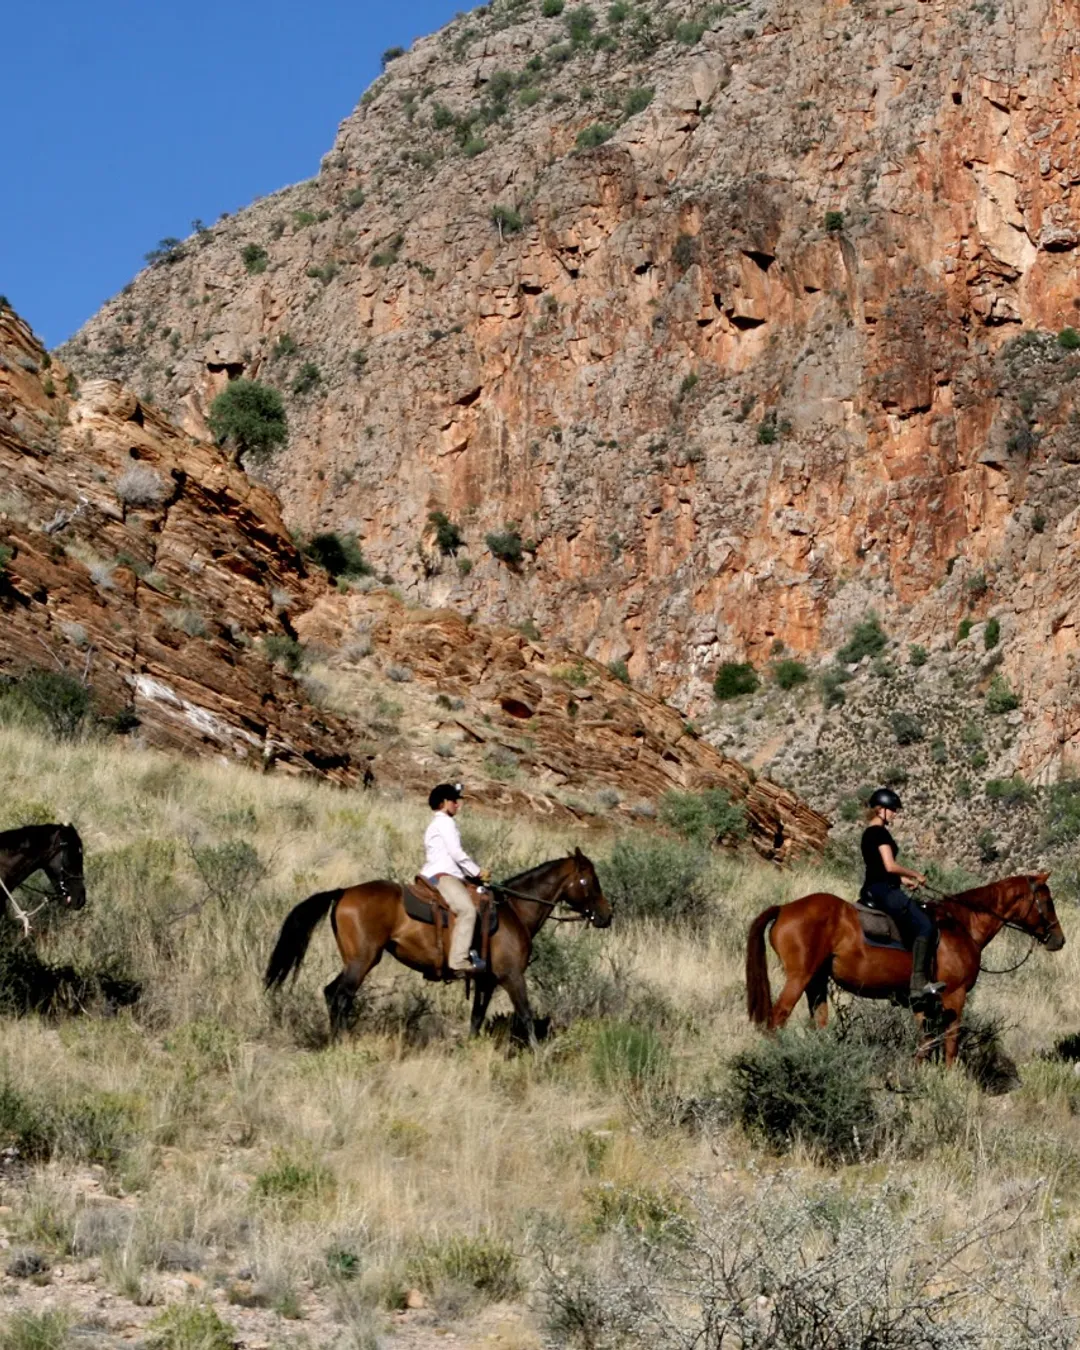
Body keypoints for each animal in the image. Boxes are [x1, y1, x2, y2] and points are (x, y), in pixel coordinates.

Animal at [264, 853, 612, 1042]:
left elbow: (476, 1018)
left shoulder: (486, 981)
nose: (606, 915)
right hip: (362, 961)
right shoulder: (512, 977)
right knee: (340, 997)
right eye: (590, 881)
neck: (514, 910)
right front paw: (539, 1058)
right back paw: (341, 1042)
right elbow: (526, 1016)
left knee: (330, 993)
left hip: (357, 961)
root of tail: (345, 891)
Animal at [745, 874, 1069, 1063]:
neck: (962, 925)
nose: (1059, 939)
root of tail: (785, 908)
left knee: (819, 1020)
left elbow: (925, 1043)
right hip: (799, 978)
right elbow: (950, 1042)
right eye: (1047, 900)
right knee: (777, 1018)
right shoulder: (955, 996)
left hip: (816, 981)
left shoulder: (922, 1003)